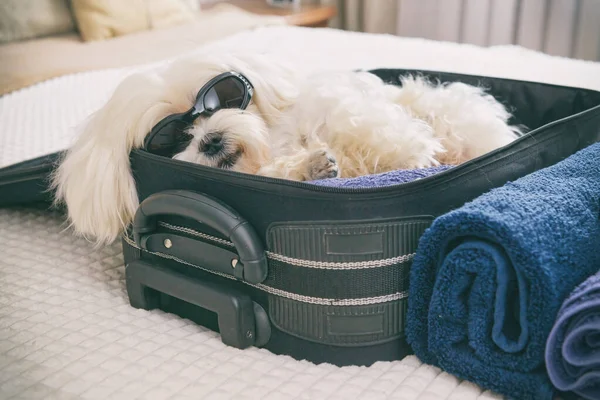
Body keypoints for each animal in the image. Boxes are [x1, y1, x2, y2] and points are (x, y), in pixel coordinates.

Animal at [51, 50, 520, 244]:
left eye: (222, 98)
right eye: (168, 137)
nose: (211, 139)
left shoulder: (341, 110)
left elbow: (368, 129)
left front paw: (407, 155)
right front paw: (310, 168)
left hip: (449, 109)